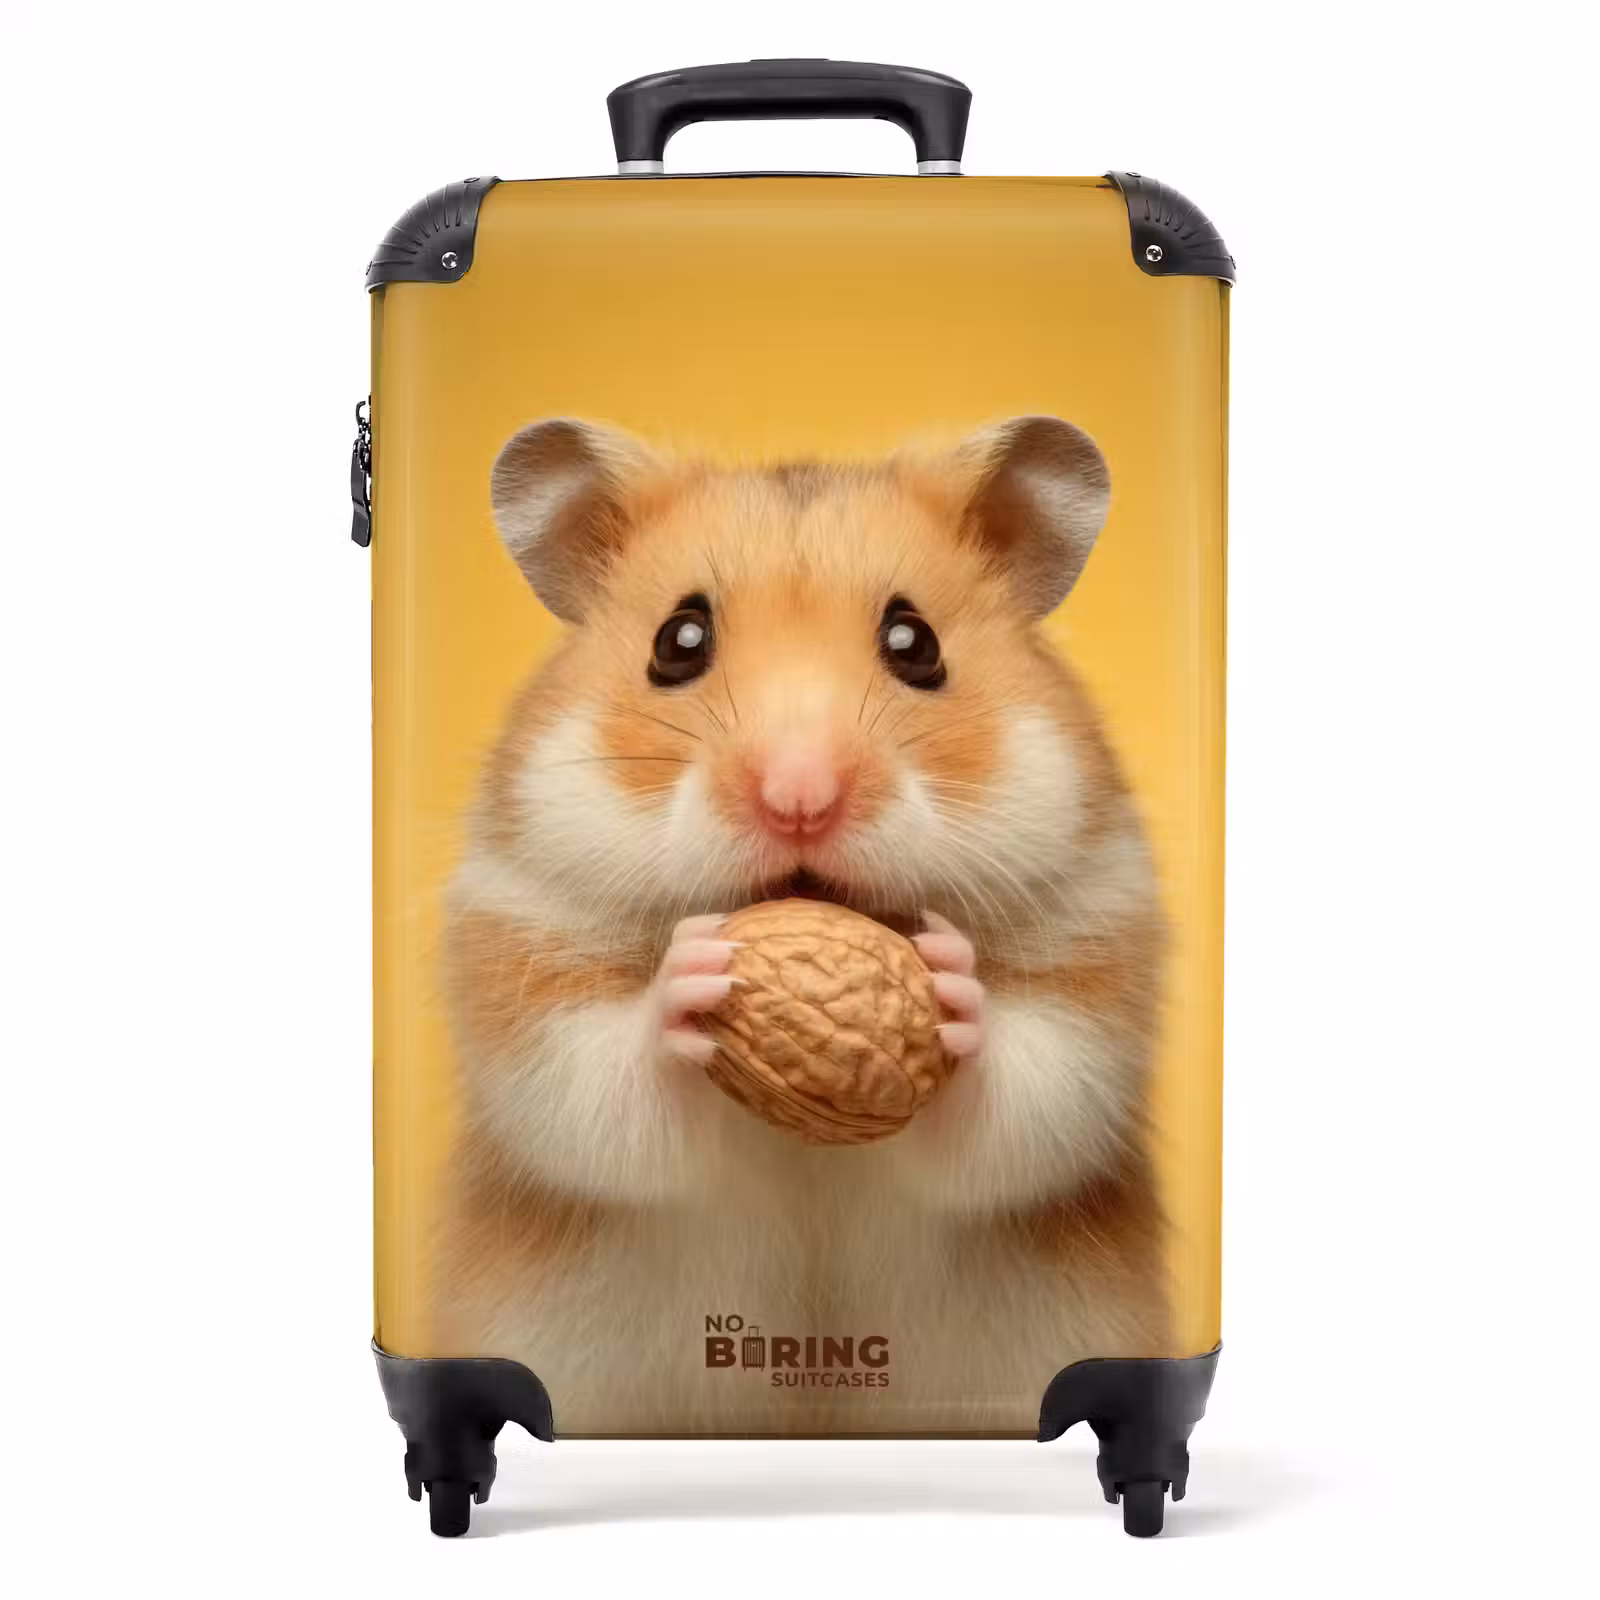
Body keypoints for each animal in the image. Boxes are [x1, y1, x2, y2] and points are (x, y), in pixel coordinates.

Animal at [434, 415, 1169, 1435]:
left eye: (915, 641)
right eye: (678, 640)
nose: (799, 800)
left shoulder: (1096, 949)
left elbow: (1027, 1102)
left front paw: (951, 984)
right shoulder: (521, 952)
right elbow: (598, 1090)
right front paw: (691, 976)